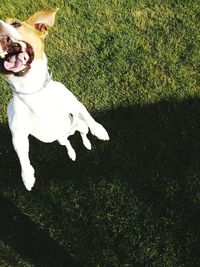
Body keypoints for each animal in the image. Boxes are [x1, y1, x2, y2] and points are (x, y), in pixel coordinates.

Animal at [0, 9, 109, 191]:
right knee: (67, 143)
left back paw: (87, 144)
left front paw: (100, 131)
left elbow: (89, 117)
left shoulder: (75, 105)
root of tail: (68, 133)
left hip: (80, 125)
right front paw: (27, 177)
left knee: (83, 134)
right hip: (59, 139)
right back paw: (72, 154)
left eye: (15, 23)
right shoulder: (18, 134)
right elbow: (22, 157)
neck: (31, 91)